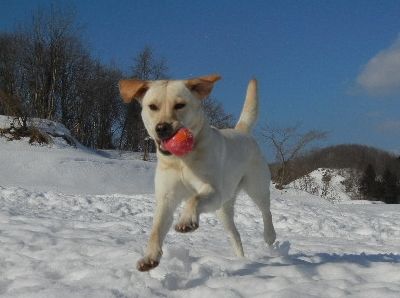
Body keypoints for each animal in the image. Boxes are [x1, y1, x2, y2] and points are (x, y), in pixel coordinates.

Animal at [119, 74, 276, 270]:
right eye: (152, 106)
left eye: (180, 105)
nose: (162, 128)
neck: (180, 160)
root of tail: (241, 131)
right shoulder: (166, 199)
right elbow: (156, 230)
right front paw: (149, 257)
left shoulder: (213, 190)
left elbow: (194, 198)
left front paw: (186, 221)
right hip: (223, 209)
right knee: (235, 235)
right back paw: (241, 261)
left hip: (255, 187)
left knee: (266, 211)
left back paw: (269, 235)